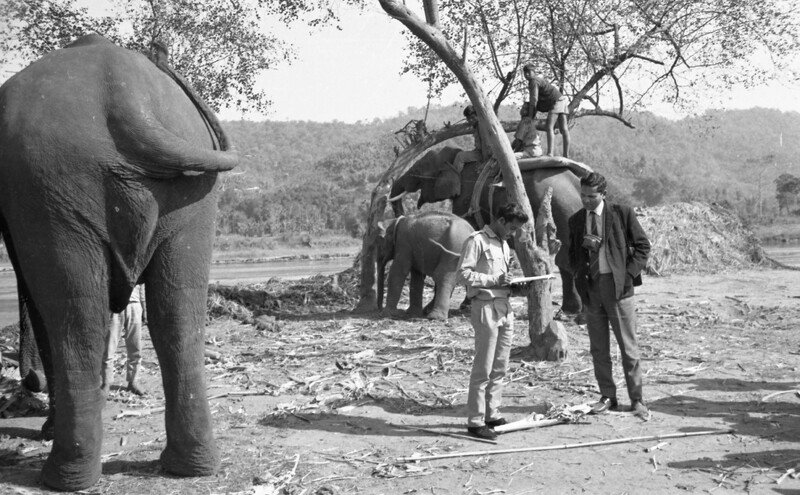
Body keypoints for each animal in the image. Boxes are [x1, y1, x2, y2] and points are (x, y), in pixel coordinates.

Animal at [0, 35, 238, 491]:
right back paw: (191, 467)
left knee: (75, 318)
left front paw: (46, 430)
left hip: (45, 189)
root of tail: (129, 99)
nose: (28, 382)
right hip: (193, 193)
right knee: (177, 311)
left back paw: (63, 476)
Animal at [389, 146, 586, 314]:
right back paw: (572, 311)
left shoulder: (465, 198)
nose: (402, 215)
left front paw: (464, 306)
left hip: (561, 212)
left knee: (565, 261)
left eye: (420, 169)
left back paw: (570, 312)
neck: (456, 156)